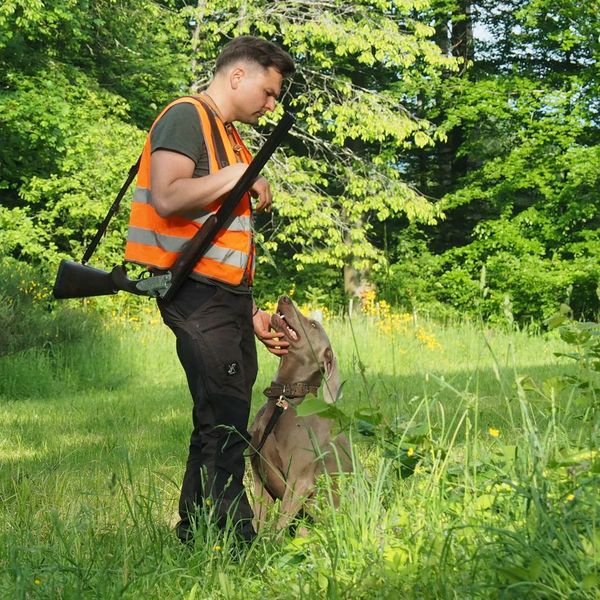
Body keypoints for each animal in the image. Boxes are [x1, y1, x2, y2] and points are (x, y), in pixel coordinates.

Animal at [249, 295, 352, 532]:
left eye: (313, 325)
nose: (284, 297)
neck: (285, 399)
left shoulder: (300, 481)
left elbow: (277, 529)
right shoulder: (260, 479)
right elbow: (258, 525)